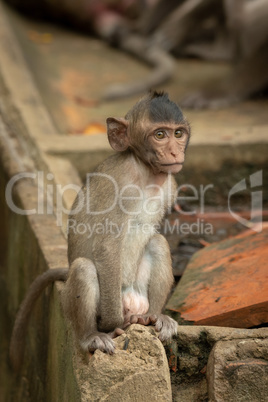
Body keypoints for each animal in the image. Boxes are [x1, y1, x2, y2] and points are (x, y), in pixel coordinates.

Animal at [9, 92, 191, 370]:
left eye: (178, 133)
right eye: (160, 135)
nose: (174, 151)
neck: (146, 171)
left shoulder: (171, 183)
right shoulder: (119, 186)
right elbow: (106, 246)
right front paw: (112, 325)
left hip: (137, 292)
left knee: (158, 243)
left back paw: (154, 317)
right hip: (88, 300)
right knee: (83, 269)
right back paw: (93, 335)